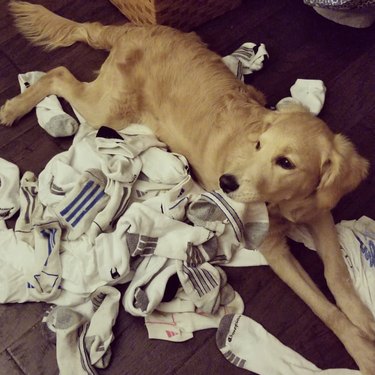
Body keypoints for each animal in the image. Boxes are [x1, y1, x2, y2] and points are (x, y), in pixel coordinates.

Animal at [0, 2, 374, 374]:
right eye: (258, 145)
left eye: (286, 163)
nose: (225, 182)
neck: (285, 203)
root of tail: (135, 30)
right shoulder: (272, 248)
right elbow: (322, 306)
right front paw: (361, 347)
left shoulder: (320, 211)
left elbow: (336, 274)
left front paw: (363, 318)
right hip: (107, 110)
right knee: (59, 73)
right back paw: (14, 107)